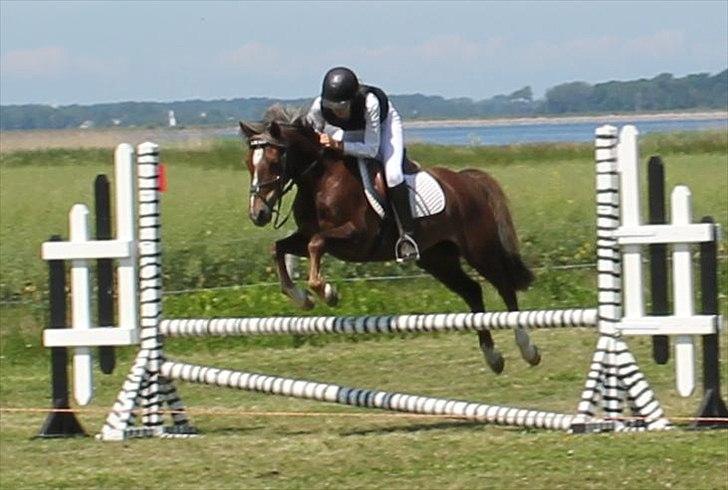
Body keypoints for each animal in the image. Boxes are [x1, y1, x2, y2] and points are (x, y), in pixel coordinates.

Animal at [239, 107, 540, 374]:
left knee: (504, 287)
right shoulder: (305, 235)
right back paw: (492, 356)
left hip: (479, 250)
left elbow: (317, 244)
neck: (321, 180)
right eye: (248, 164)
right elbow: (279, 248)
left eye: (274, 163)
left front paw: (327, 292)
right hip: (437, 259)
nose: (258, 214)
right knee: (472, 291)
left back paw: (527, 349)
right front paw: (302, 299)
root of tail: (468, 181)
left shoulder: (356, 238)